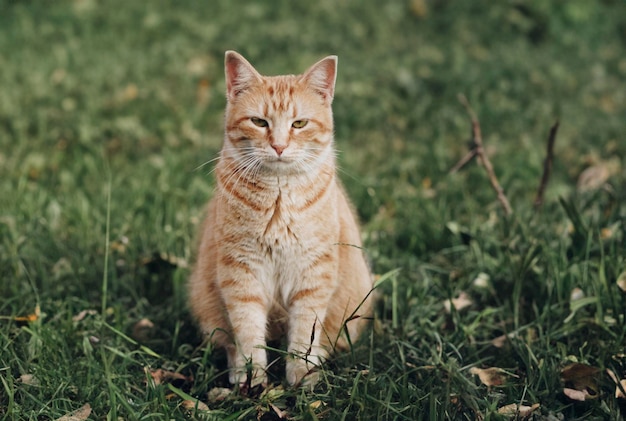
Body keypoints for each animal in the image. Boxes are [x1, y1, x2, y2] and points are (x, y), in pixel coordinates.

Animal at [185, 50, 370, 388]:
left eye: (299, 123)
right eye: (259, 122)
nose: (279, 146)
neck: (279, 197)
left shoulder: (313, 275)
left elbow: (305, 334)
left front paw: (300, 377)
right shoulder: (241, 273)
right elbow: (247, 333)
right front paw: (252, 379)